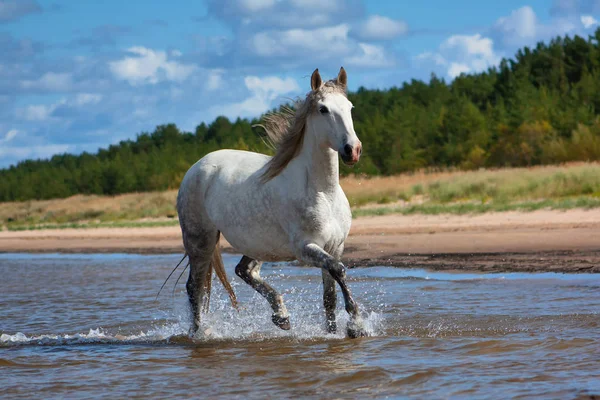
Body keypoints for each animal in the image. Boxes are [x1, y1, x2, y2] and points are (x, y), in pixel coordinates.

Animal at [176, 66, 368, 338]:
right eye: (323, 109)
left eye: (350, 107)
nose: (353, 150)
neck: (323, 192)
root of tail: (195, 168)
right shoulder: (306, 248)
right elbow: (339, 270)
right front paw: (356, 325)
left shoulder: (335, 246)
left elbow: (329, 295)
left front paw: (333, 333)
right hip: (200, 240)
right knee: (195, 287)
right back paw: (200, 334)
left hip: (258, 244)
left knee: (243, 271)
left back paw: (281, 316)